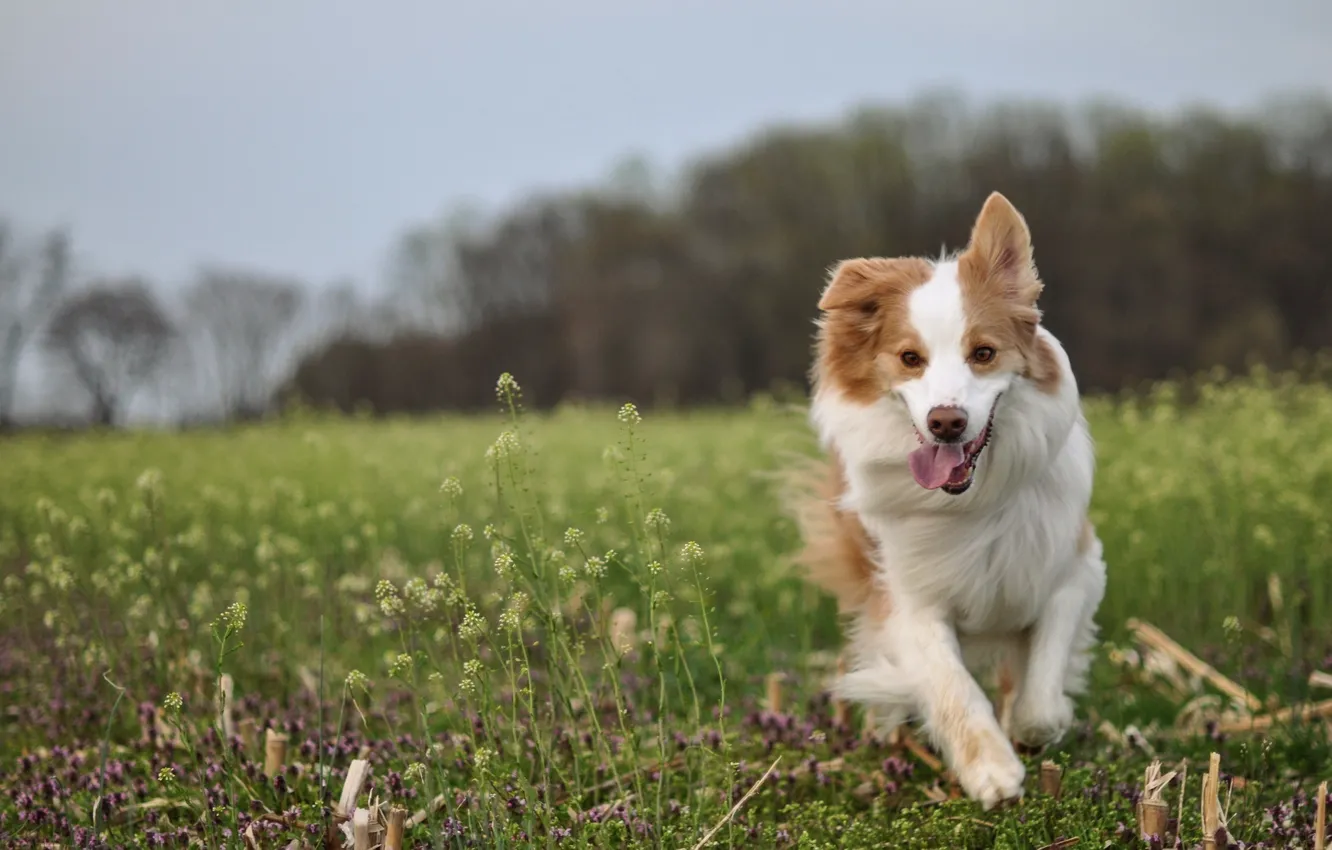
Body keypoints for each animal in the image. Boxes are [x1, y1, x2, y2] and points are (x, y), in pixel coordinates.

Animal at [783, 189, 1108, 810]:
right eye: (910, 359)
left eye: (983, 353)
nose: (946, 422)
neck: (970, 500)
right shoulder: (912, 599)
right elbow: (953, 687)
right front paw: (991, 771)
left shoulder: (1072, 569)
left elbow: (1040, 683)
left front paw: (1036, 725)